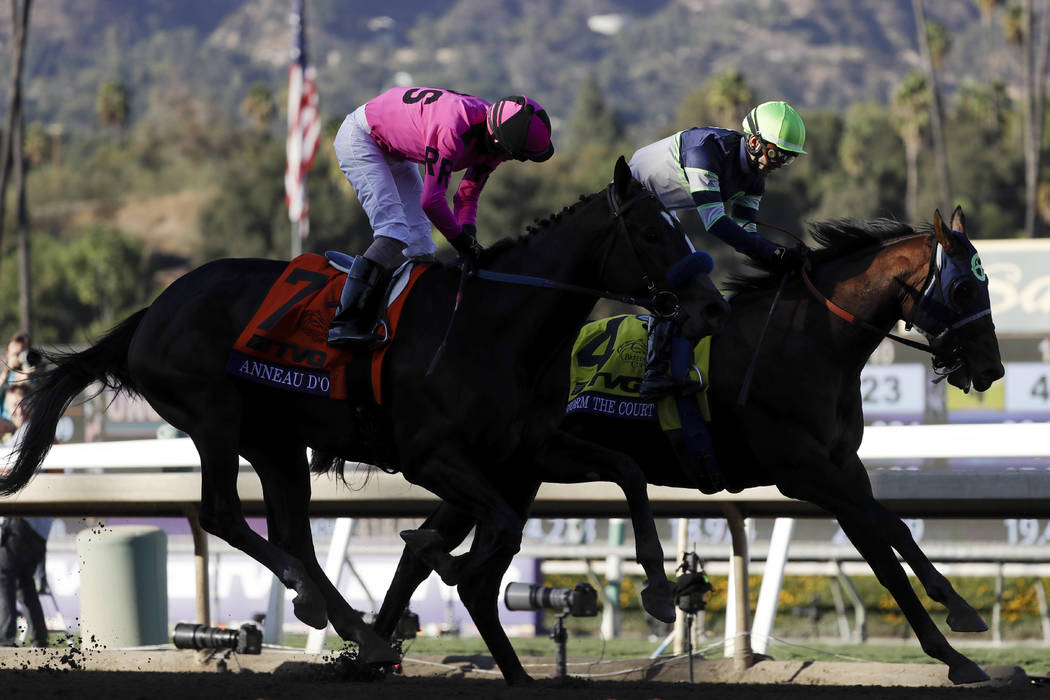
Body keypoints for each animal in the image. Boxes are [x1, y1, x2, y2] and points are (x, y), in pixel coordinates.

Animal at [373, 206, 1003, 684]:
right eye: (964, 285)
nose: (992, 367)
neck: (809, 342)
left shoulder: (842, 469)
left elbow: (888, 545)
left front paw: (956, 637)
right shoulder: (807, 472)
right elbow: (888, 539)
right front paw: (958, 629)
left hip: (505, 472)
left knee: (427, 556)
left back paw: (376, 648)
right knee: (447, 563)